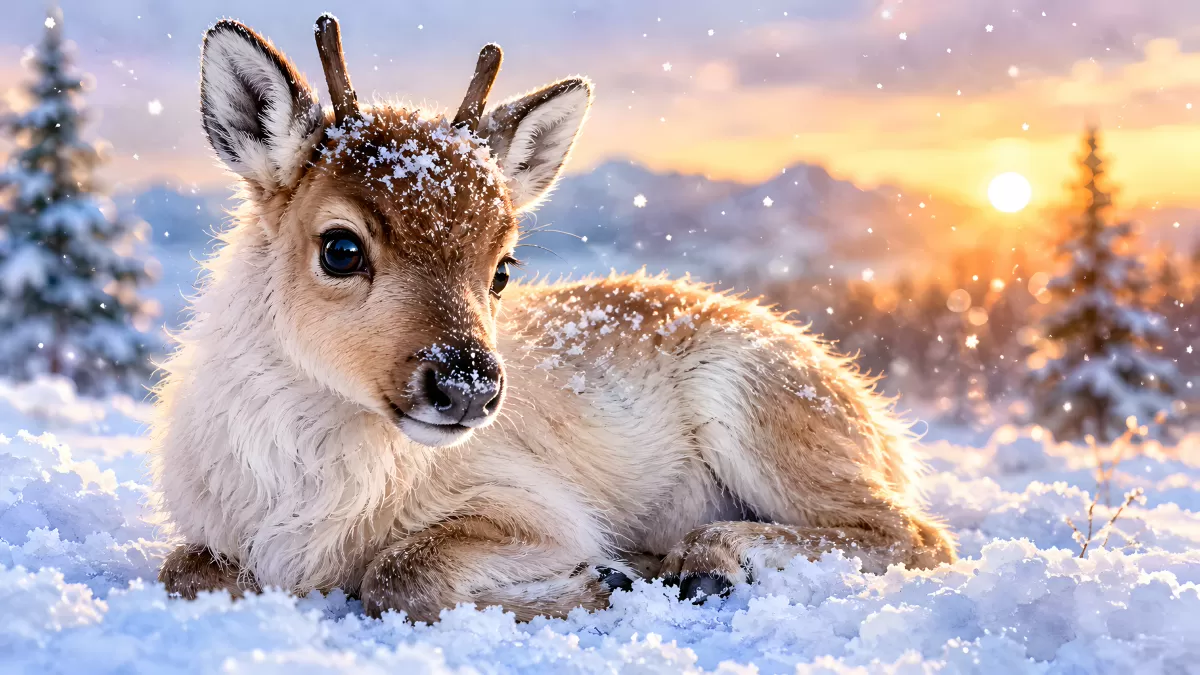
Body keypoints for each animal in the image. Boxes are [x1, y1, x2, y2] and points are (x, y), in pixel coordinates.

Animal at [151, 14, 956, 622]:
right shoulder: (213, 534)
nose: (468, 385)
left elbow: (402, 572)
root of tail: (882, 423)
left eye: (504, 267)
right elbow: (182, 569)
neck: (304, 499)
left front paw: (599, 581)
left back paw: (707, 559)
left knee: (914, 531)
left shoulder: (536, 506)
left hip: (764, 414)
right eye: (340, 247)